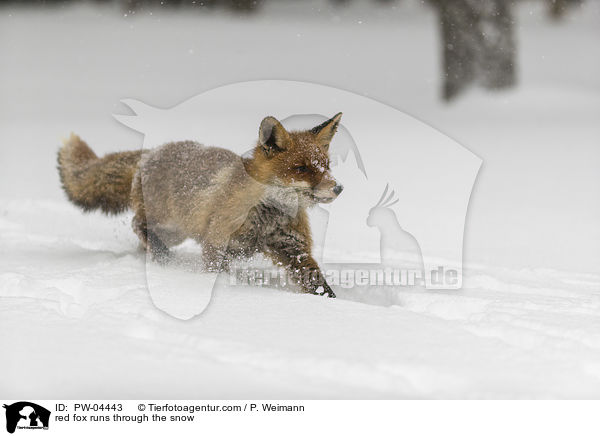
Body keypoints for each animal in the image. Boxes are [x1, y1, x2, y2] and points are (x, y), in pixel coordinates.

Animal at [59, 112, 346, 298]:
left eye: (326, 166)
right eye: (302, 168)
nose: (338, 188)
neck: (265, 217)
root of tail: (151, 152)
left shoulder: (292, 247)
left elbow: (318, 285)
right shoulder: (217, 242)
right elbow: (215, 272)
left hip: (176, 232)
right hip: (167, 224)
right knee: (136, 224)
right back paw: (162, 258)